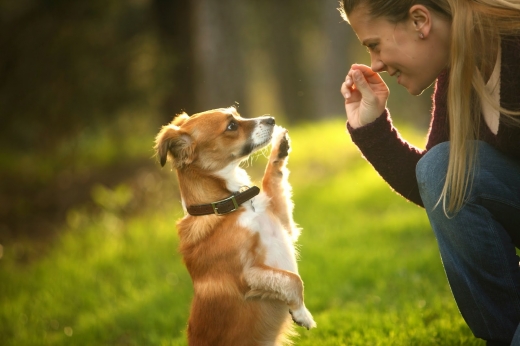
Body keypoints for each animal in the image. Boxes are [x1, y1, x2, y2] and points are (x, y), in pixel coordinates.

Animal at [154, 107, 314, 344]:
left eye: (237, 114)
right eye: (231, 126)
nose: (271, 119)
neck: (230, 207)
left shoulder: (285, 225)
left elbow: (271, 179)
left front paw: (280, 147)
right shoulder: (246, 274)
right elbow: (293, 280)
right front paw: (302, 314)